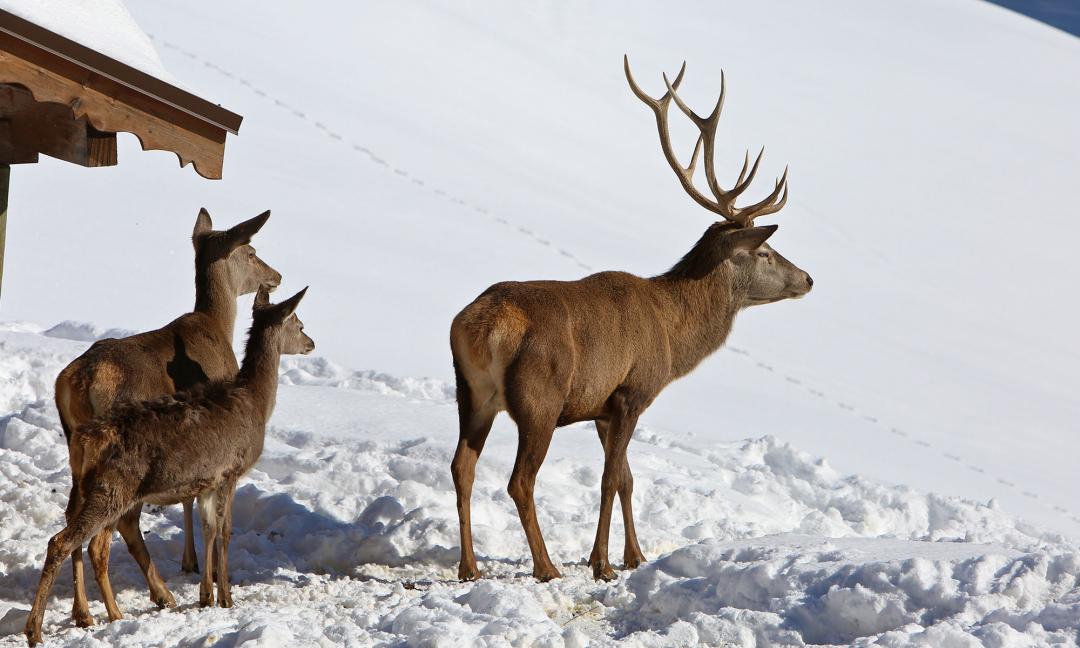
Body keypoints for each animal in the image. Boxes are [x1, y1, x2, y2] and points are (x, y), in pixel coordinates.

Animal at [25, 286, 314, 647]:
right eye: (299, 323)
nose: (311, 343)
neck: (256, 402)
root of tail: (86, 438)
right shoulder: (230, 471)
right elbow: (225, 531)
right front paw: (226, 598)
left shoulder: (208, 480)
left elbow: (208, 528)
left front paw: (206, 596)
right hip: (114, 488)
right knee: (68, 541)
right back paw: (42, 628)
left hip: (85, 482)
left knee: (77, 533)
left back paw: (91, 615)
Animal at [52, 208, 281, 628]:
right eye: (252, 251)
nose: (276, 275)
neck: (217, 326)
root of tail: (78, 381)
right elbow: (194, 500)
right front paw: (195, 567)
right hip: (126, 455)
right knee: (119, 524)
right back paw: (156, 595)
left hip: (76, 448)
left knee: (74, 515)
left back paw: (84, 612)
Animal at [449, 57, 814, 583]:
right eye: (764, 251)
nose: (808, 278)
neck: (673, 332)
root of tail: (480, 327)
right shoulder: (632, 391)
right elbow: (608, 480)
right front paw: (602, 564)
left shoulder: (603, 407)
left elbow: (626, 478)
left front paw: (635, 556)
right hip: (539, 398)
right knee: (519, 481)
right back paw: (547, 566)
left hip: (471, 392)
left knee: (462, 467)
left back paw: (469, 567)